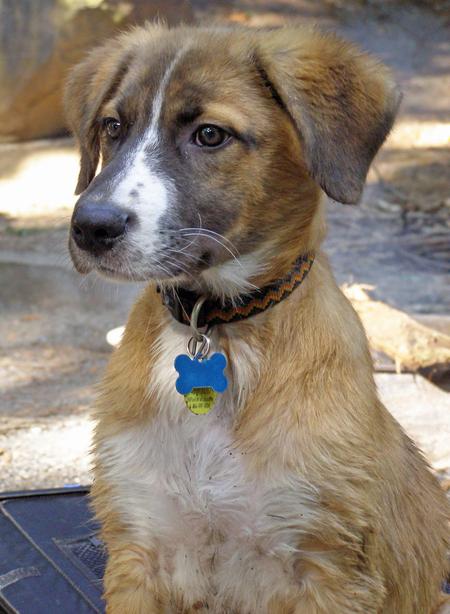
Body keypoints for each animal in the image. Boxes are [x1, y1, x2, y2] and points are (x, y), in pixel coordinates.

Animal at [65, 21, 448, 612]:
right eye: (113, 126)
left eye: (210, 135)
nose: (90, 226)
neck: (215, 327)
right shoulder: (139, 548)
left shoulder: (326, 569)